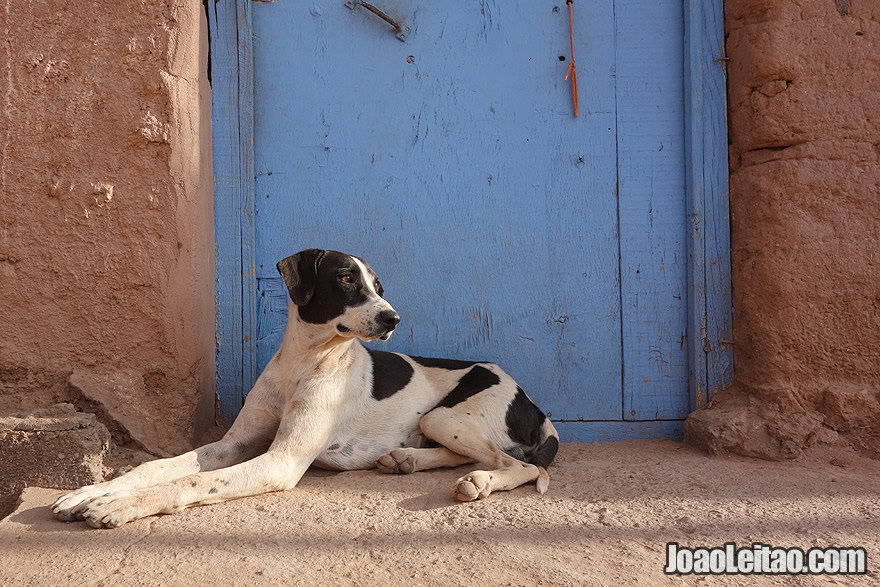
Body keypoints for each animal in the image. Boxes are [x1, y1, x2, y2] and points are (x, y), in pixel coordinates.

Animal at [51, 250, 556, 532]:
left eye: (378, 286)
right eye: (346, 278)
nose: (393, 318)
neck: (305, 362)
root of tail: (532, 400)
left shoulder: (282, 461)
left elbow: (188, 481)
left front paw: (119, 505)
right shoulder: (232, 444)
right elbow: (158, 466)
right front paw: (89, 492)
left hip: (446, 416)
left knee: (520, 465)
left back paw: (479, 482)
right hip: (440, 422)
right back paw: (406, 459)